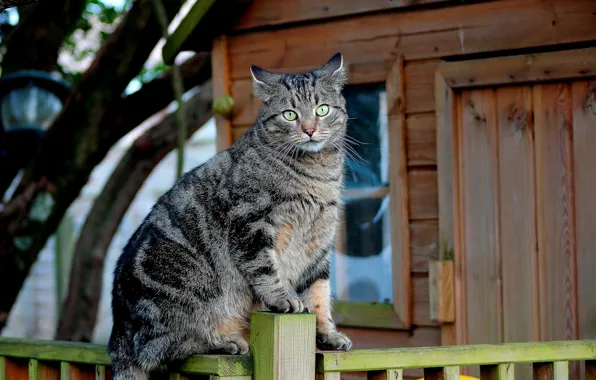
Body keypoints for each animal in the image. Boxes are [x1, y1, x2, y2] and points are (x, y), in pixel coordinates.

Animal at [107, 52, 352, 380]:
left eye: (322, 110)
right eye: (289, 115)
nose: (310, 129)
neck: (316, 174)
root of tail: (117, 332)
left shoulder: (320, 243)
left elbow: (319, 293)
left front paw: (327, 334)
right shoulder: (250, 222)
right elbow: (266, 269)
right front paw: (282, 298)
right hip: (186, 286)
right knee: (160, 349)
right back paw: (223, 342)